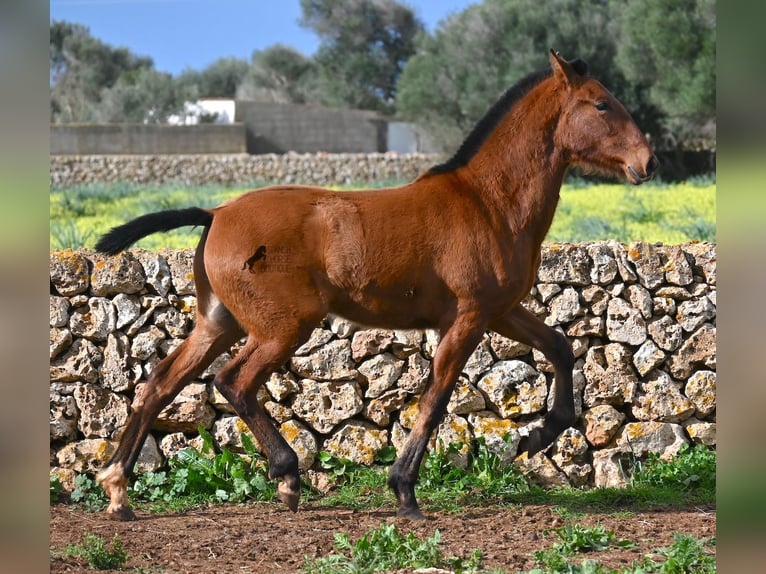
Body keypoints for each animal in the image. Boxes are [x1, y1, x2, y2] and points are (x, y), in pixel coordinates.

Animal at [94, 53, 660, 520]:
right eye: (601, 104)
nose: (648, 162)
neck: (488, 203)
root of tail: (215, 213)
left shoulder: (501, 311)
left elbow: (561, 348)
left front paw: (536, 437)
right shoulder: (469, 318)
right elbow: (435, 399)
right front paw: (405, 491)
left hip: (218, 323)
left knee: (160, 385)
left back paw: (119, 490)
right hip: (282, 327)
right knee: (234, 382)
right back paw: (287, 476)